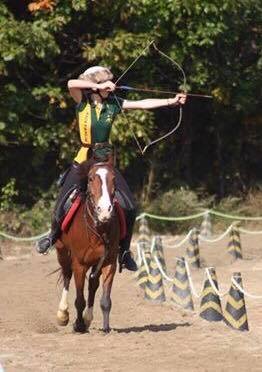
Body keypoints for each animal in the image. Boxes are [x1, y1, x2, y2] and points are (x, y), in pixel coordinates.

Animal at [55, 158, 121, 332]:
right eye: (91, 179)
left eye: (114, 179)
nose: (105, 210)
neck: (98, 229)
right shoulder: (79, 264)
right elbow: (79, 299)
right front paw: (78, 325)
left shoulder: (109, 263)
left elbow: (106, 300)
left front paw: (105, 328)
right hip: (62, 252)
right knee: (67, 275)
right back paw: (63, 314)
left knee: (92, 284)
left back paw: (88, 318)